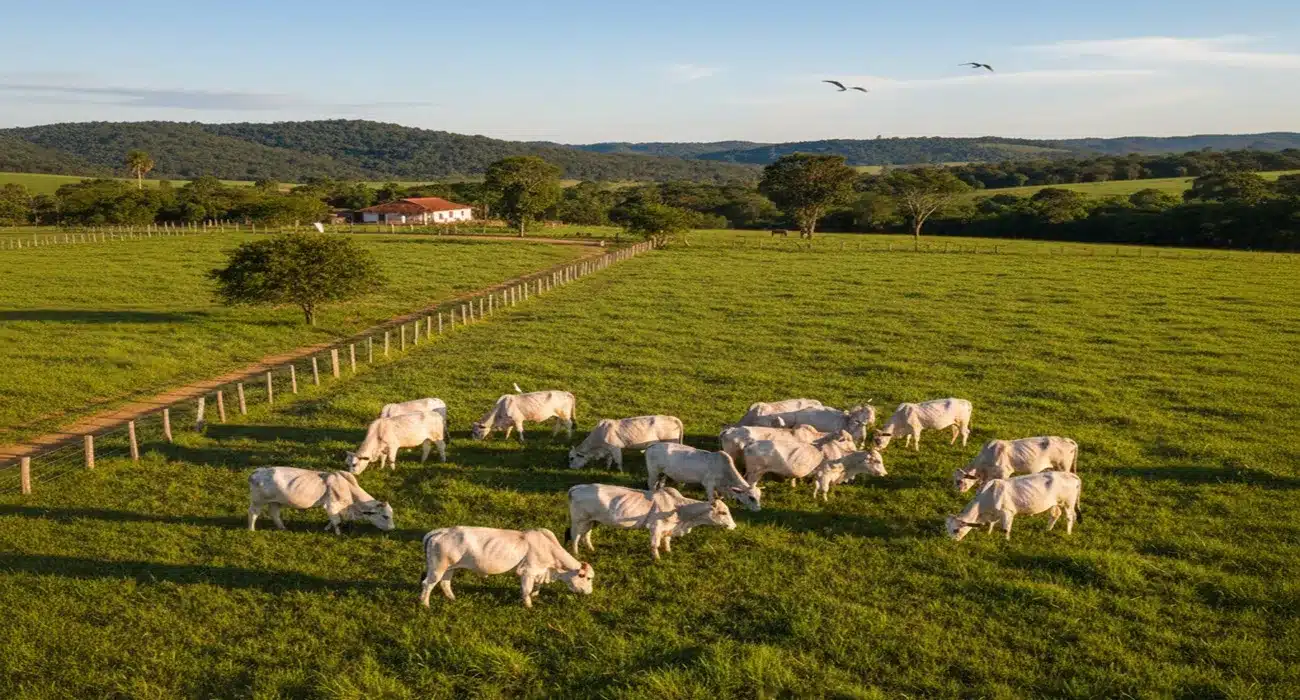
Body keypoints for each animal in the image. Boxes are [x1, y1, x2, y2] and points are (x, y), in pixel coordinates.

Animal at [247, 467, 394, 534]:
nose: (392, 528)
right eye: (385, 516)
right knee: (253, 513)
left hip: (276, 501)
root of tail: (257, 471)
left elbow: (332, 520)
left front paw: (327, 528)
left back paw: (282, 528)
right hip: (258, 501)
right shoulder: (332, 505)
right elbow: (336, 521)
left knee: (274, 514)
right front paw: (338, 533)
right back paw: (251, 530)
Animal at [418, 526, 594, 608]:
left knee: (445, 583)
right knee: (428, 584)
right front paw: (528, 605)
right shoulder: (527, 572)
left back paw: (452, 598)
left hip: (450, 568)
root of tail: (441, 531)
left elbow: (536, 587)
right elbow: (526, 590)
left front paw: (535, 595)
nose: (589, 592)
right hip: (438, 568)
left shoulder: (539, 572)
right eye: (587, 578)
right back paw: (425, 604)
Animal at [566, 484, 736, 560]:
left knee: (586, 535)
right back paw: (576, 553)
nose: (733, 526)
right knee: (575, 536)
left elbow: (666, 541)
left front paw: (668, 551)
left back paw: (591, 549)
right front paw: (657, 559)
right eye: (723, 512)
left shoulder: (668, 528)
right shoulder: (656, 527)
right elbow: (655, 544)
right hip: (579, 520)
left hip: (592, 521)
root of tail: (577, 488)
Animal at [946, 471, 1083, 541]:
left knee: (1070, 517)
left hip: (1068, 503)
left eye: (956, 530)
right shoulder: (995, 514)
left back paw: (1068, 533)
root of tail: (1073, 475)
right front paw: (989, 533)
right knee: (1055, 514)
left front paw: (1006, 541)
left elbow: (1006, 528)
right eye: (948, 529)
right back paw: (1048, 530)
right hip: (1055, 503)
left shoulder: (1008, 512)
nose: (952, 541)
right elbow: (992, 523)